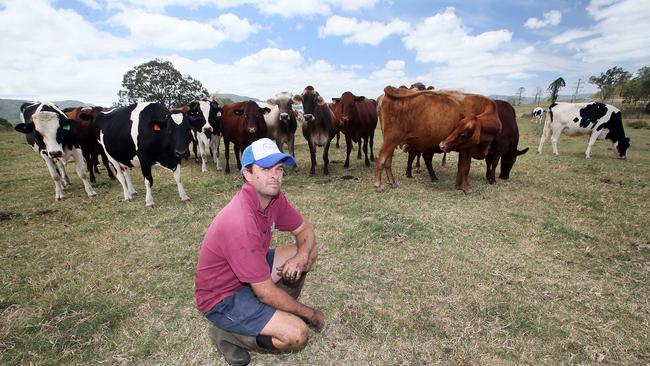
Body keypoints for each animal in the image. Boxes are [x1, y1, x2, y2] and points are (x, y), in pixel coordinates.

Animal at [374, 87, 502, 193]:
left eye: (463, 132)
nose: (442, 145)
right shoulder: (467, 148)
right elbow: (466, 167)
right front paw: (467, 188)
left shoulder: (462, 148)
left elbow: (461, 166)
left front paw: (458, 185)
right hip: (391, 139)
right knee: (381, 158)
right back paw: (378, 185)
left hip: (391, 141)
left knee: (388, 160)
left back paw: (392, 182)